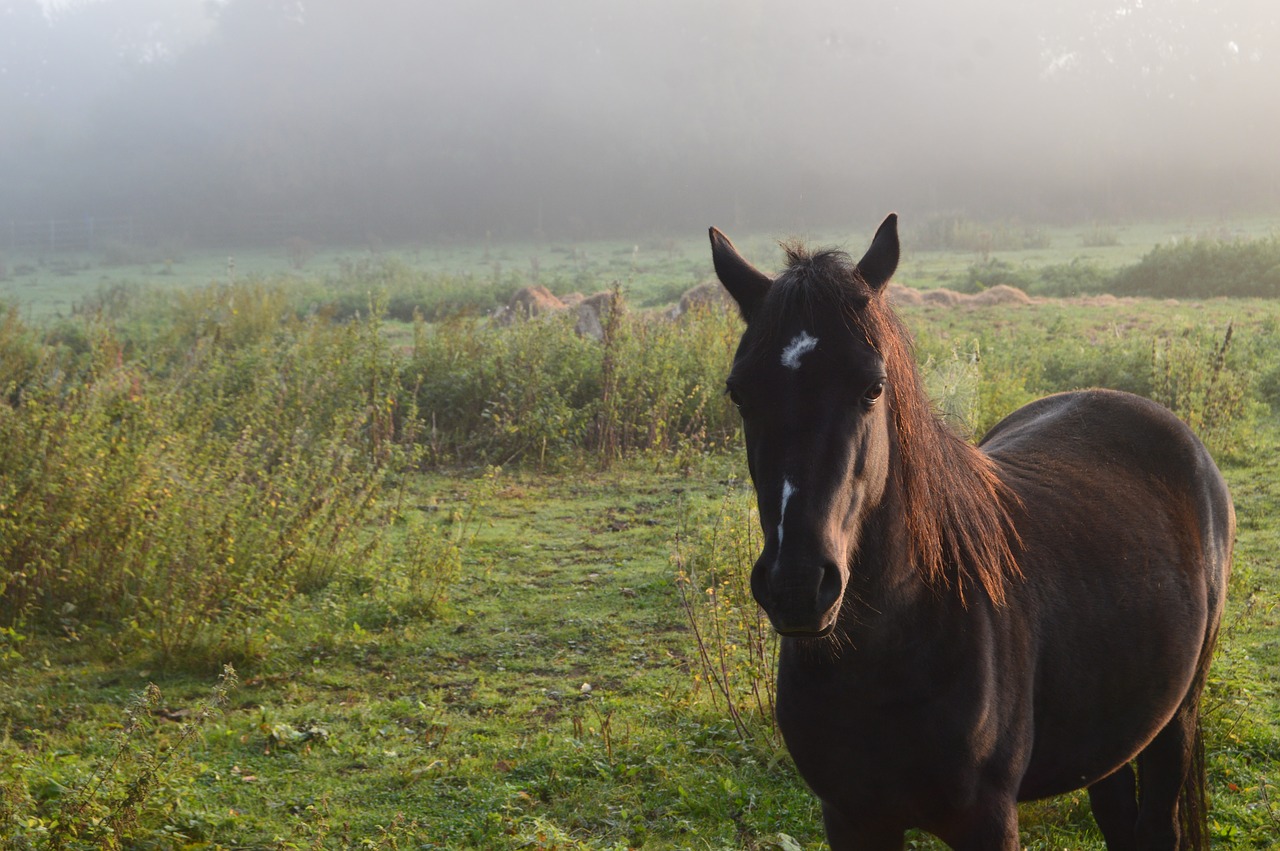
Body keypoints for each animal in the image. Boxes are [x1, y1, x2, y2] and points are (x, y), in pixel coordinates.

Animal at [711, 213, 1228, 849]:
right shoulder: (851, 818)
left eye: (872, 388)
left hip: (1174, 722)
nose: (798, 585)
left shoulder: (987, 818)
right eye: (739, 392)